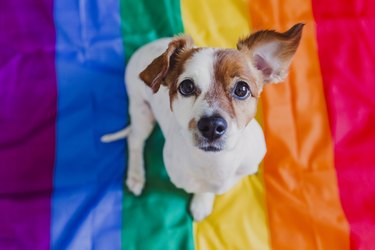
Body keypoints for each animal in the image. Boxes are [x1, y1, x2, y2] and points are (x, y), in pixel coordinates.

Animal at [103, 23, 306, 222]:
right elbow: (205, 189)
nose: (212, 126)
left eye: (242, 89)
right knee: (134, 140)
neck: (217, 162)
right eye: (186, 87)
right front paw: (202, 202)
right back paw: (136, 176)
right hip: (142, 113)